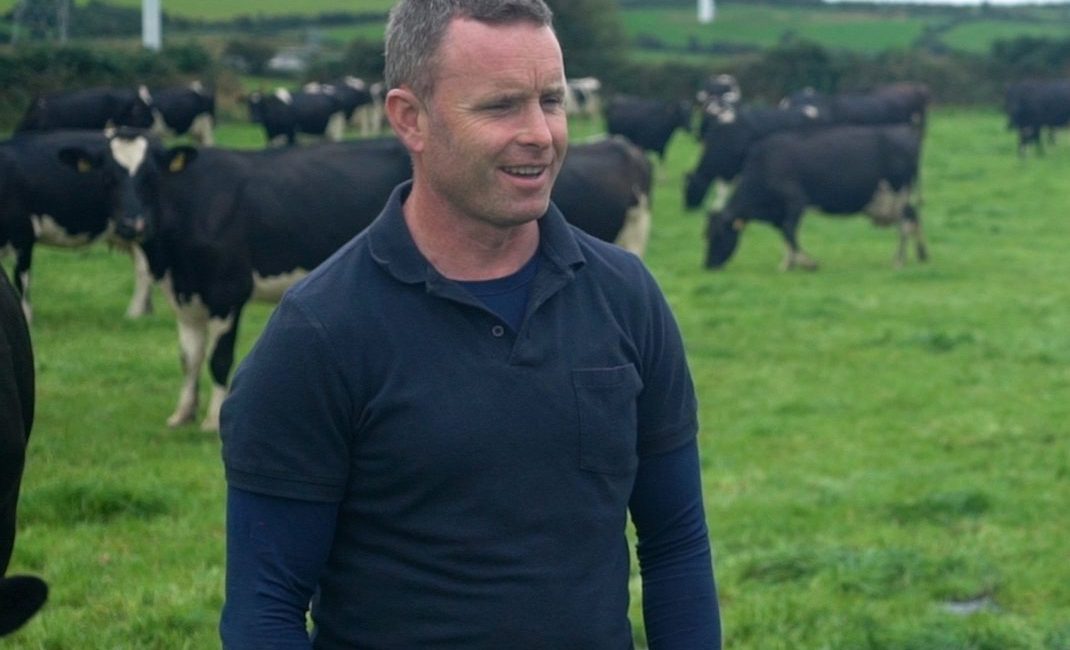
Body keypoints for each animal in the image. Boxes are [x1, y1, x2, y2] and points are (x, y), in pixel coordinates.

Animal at [0, 131, 155, 323]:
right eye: (108, 177)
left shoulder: (24, 235)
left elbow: (21, 283)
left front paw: (27, 319)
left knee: (144, 268)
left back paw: (135, 314)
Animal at [680, 104, 821, 210]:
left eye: (689, 187)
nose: (687, 208)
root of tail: (811, 111)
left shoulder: (733, 168)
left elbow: (723, 188)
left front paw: (717, 205)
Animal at [701, 124, 928, 269]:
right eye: (706, 235)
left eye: (718, 235)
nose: (708, 265)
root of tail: (906, 132)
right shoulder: (780, 212)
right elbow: (785, 236)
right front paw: (788, 263)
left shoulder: (796, 202)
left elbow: (789, 232)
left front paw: (806, 262)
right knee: (914, 218)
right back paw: (922, 254)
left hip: (898, 194)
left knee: (904, 226)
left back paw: (899, 260)